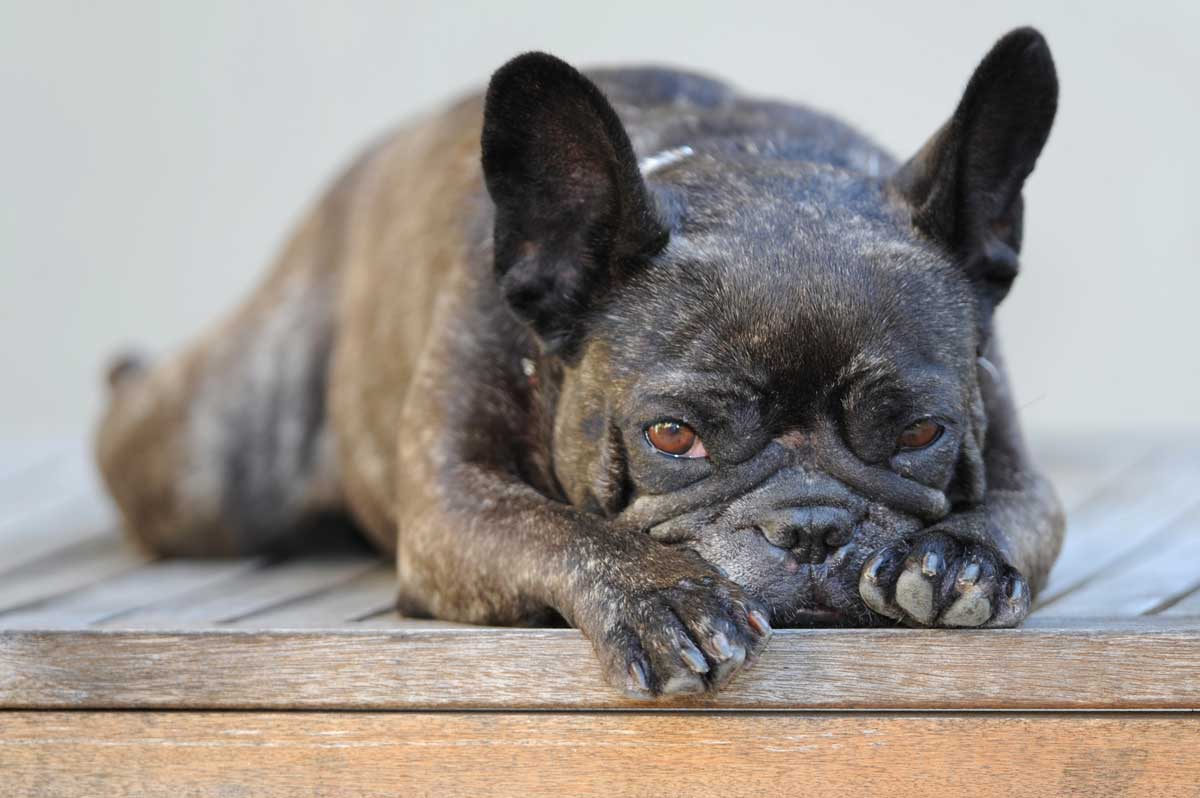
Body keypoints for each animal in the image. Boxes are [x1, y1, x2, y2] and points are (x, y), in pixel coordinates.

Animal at [98, 26, 1065, 696]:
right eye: (672, 438)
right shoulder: (453, 506)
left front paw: (961, 559)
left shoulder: (1019, 458)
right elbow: (556, 526)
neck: (740, 171)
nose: (813, 527)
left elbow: (1022, 513)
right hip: (207, 471)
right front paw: (660, 597)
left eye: (923, 433)